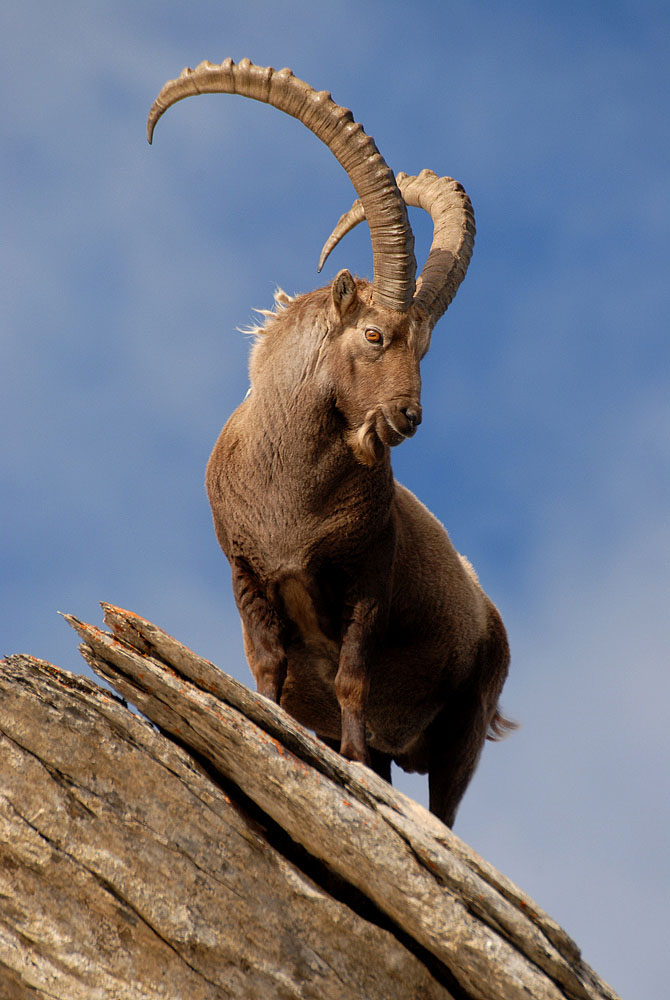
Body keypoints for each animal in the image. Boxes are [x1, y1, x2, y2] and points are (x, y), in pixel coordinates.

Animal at [148, 58, 516, 824]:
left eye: (424, 348)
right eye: (374, 335)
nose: (407, 418)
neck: (292, 497)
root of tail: (490, 612)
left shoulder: (366, 582)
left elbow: (351, 679)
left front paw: (342, 759)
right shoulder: (248, 572)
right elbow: (267, 669)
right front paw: (263, 724)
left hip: (466, 723)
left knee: (445, 804)